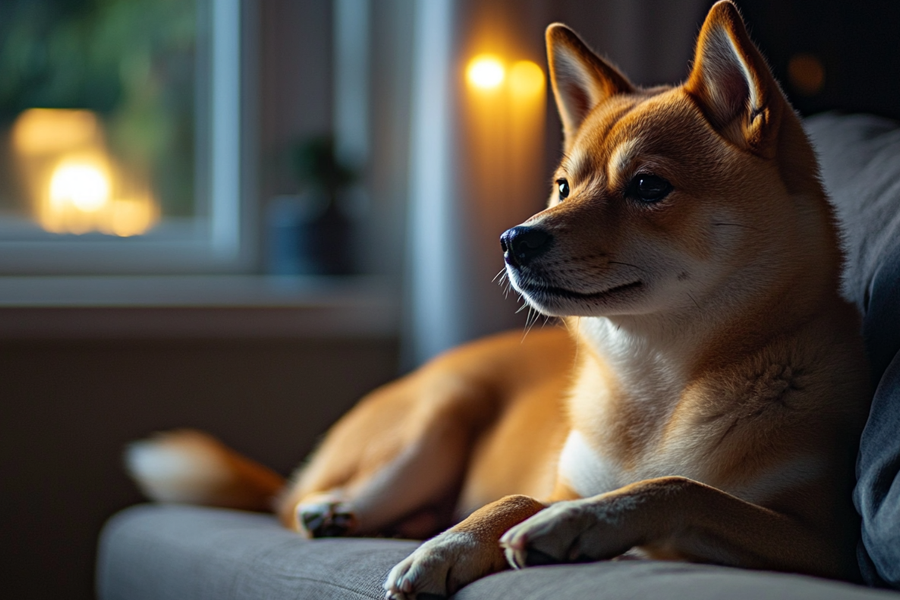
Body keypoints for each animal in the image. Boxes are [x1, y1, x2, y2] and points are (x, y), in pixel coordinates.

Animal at [126, 2, 872, 596]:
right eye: (564, 186)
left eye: (648, 186)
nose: (515, 239)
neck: (655, 384)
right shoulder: (558, 475)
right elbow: (516, 497)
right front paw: (449, 548)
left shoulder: (827, 546)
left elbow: (681, 487)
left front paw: (576, 524)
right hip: (433, 418)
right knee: (297, 502)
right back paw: (340, 511)